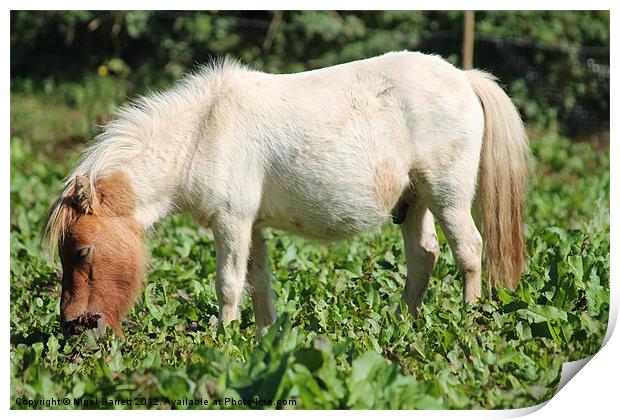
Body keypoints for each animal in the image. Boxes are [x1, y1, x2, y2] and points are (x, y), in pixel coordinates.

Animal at [43, 50, 528, 338]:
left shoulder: (231, 222)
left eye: (82, 251)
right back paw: (401, 324)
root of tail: (463, 78)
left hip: (447, 197)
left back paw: (467, 320)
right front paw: (264, 340)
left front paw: (224, 341)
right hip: (414, 203)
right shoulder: (250, 226)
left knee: (469, 250)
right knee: (424, 256)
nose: (72, 327)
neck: (202, 130)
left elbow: (228, 284)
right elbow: (258, 284)